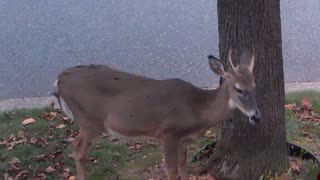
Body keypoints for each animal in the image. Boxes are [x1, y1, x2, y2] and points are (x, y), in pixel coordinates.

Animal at [53, 48, 262, 179]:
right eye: (239, 89)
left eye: (254, 86)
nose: (256, 116)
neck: (197, 108)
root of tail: (59, 79)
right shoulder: (167, 133)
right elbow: (171, 171)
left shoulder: (183, 139)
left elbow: (184, 165)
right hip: (89, 119)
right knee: (78, 150)